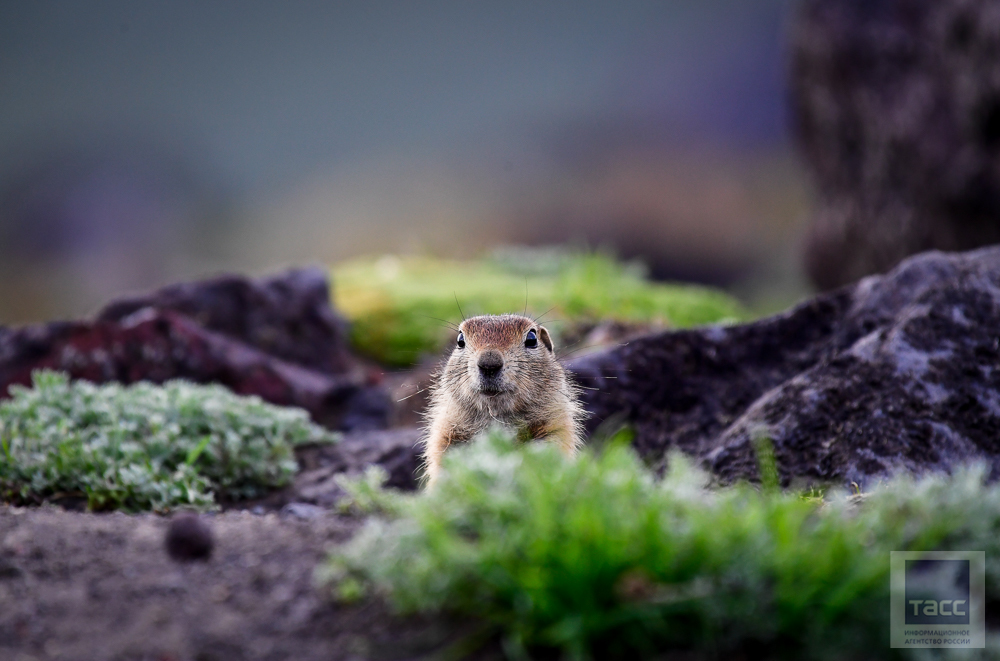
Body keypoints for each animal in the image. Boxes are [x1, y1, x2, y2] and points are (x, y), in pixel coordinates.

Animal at [422, 312, 584, 488]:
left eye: (532, 338)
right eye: (460, 340)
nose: (489, 364)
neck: (497, 418)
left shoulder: (556, 426)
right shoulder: (445, 434)